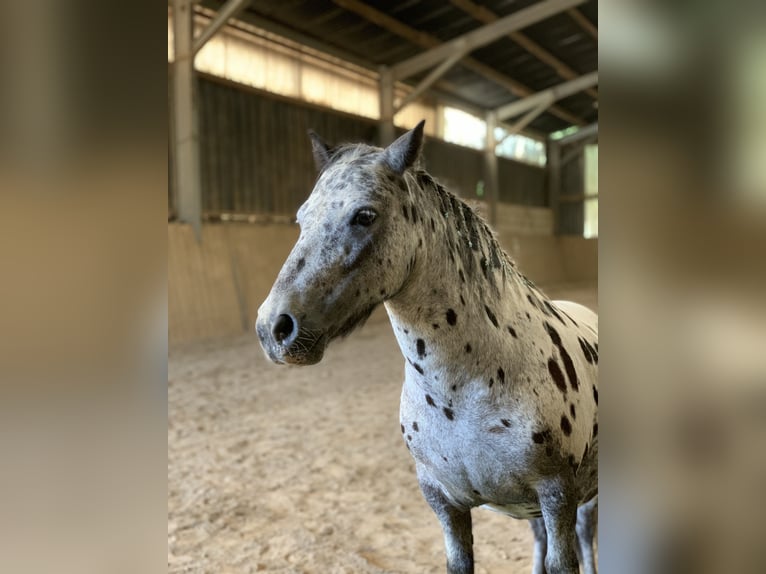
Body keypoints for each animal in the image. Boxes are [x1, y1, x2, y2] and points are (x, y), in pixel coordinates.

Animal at [256, 120, 598, 574]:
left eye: (365, 215)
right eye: (301, 218)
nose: (273, 328)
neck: (466, 391)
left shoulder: (558, 495)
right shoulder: (444, 503)